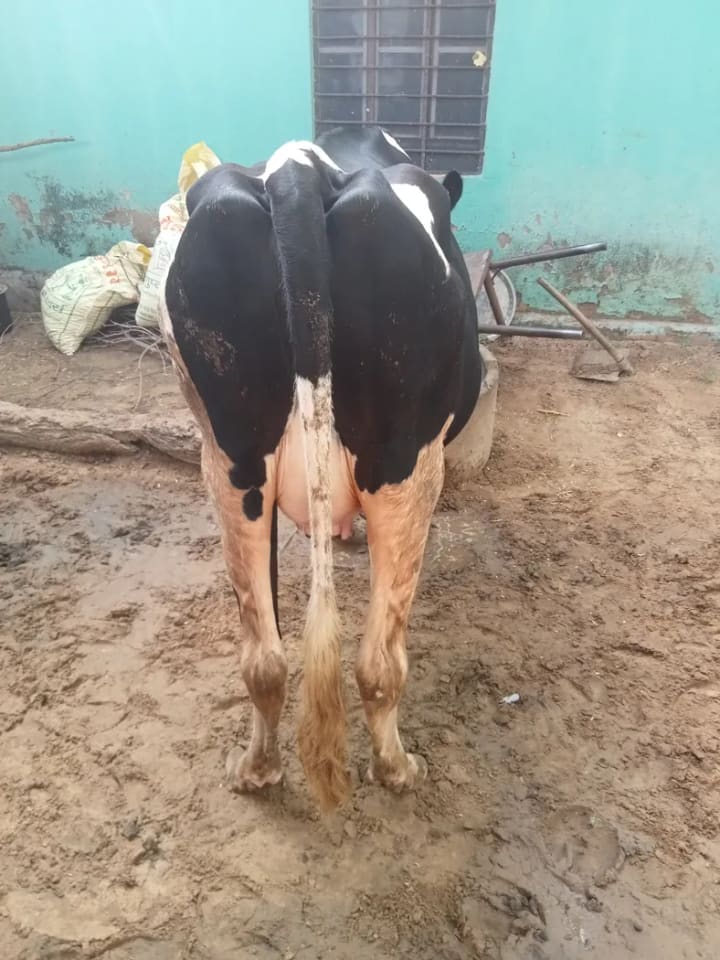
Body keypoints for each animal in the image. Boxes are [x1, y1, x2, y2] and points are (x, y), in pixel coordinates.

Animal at [160, 126, 482, 811]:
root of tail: (297, 169)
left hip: (229, 460)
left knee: (264, 660)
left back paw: (256, 771)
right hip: (407, 465)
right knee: (379, 665)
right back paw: (397, 769)